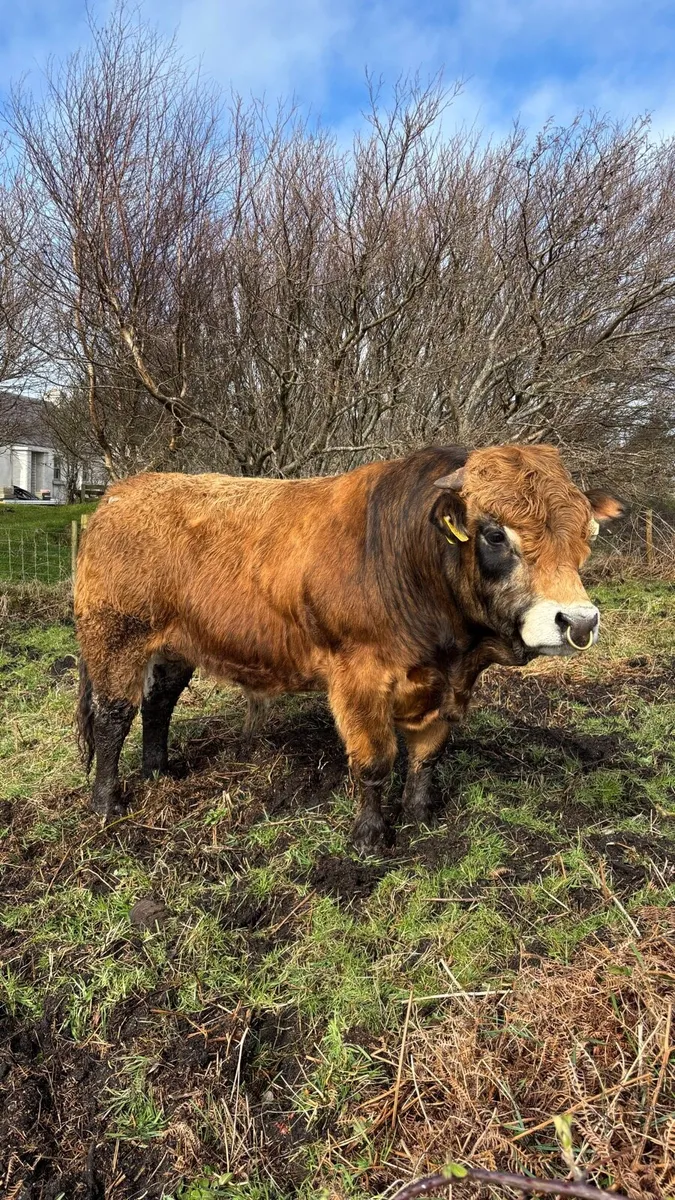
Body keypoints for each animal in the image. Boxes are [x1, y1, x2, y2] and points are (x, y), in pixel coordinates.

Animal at [74, 444, 623, 853]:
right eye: (494, 534)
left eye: (589, 533)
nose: (578, 621)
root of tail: (120, 493)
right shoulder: (360, 678)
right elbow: (375, 761)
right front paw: (369, 837)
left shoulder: (445, 686)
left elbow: (427, 754)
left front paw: (420, 815)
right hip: (116, 637)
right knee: (113, 717)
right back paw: (107, 803)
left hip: (173, 646)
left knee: (157, 703)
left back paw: (159, 771)